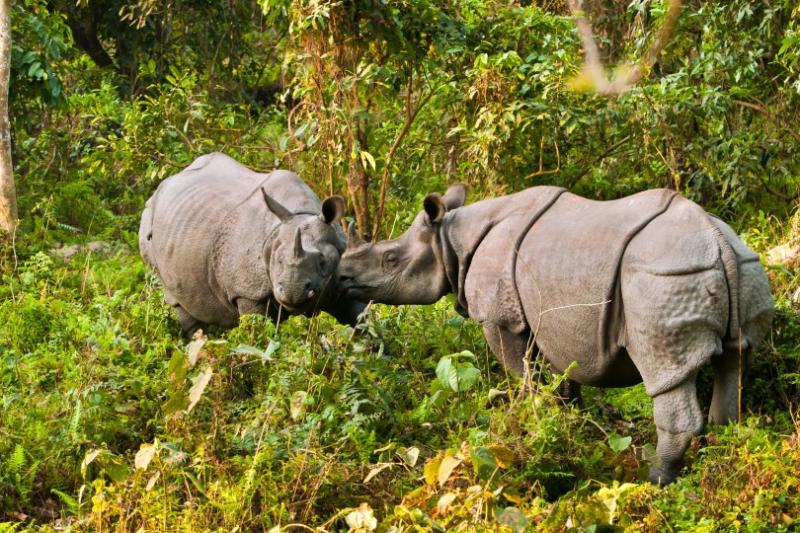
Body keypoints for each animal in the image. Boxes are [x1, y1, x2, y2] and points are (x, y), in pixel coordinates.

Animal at [139, 152, 365, 336]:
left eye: (322, 262)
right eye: (277, 262)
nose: (292, 292)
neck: (301, 212)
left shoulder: (342, 278)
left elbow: (362, 319)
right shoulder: (248, 293)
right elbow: (259, 336)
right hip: (147, 224)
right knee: (178, 302)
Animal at [338, 184, 774, 484]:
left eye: (390, 259)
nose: (342, 279)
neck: (450, 240)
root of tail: (716, 239)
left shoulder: (500, 320)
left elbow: (524, 376)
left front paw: (532, 423)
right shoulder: (552, 323)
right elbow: (566, 380)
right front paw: (572, 429)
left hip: (663, 277)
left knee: (665, 371)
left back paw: (654, 480)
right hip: (745, 265)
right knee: (736, 357)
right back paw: (720, 447)